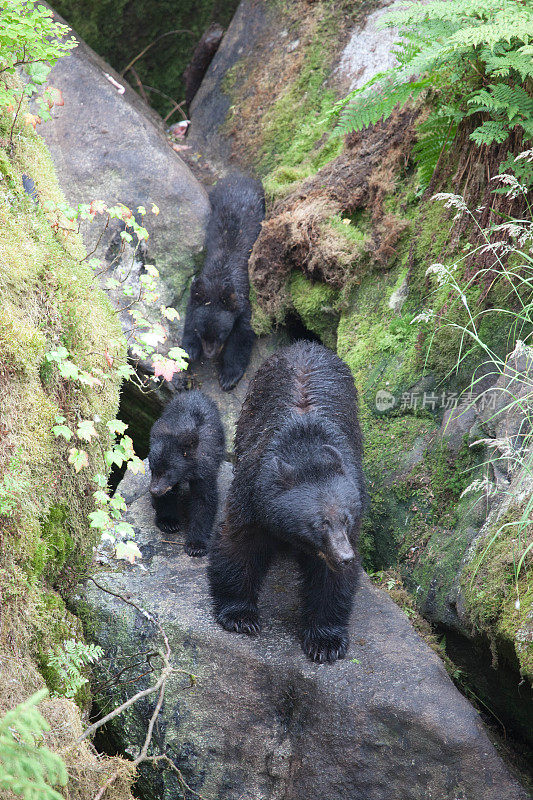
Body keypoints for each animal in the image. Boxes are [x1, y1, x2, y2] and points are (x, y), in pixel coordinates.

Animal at [148, 390, 224, 556]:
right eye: (152, 469)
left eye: (168, 472)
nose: (154, 490)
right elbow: (169, 494)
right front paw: (168, 522)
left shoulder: (205, 469)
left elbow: (204, 499)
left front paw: (196, 545)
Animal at [182, 173, 264, 392]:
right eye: (201, 333)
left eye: (221, 335)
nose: (209, 354)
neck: (219, 279)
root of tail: (240, 176)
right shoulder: (199, 290)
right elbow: (190, 314)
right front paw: (189, 349)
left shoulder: (244, 302)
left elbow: (242, 336)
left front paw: (229, 375)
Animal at [206, 342, 364, 664]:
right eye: (319, 523)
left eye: (346, 519)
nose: (345, 556)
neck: (307, 450)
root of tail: (305, 344)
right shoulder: (252, 491)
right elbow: (238, 543)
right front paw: (240, 616)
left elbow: (331, 580)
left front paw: (325, 641)